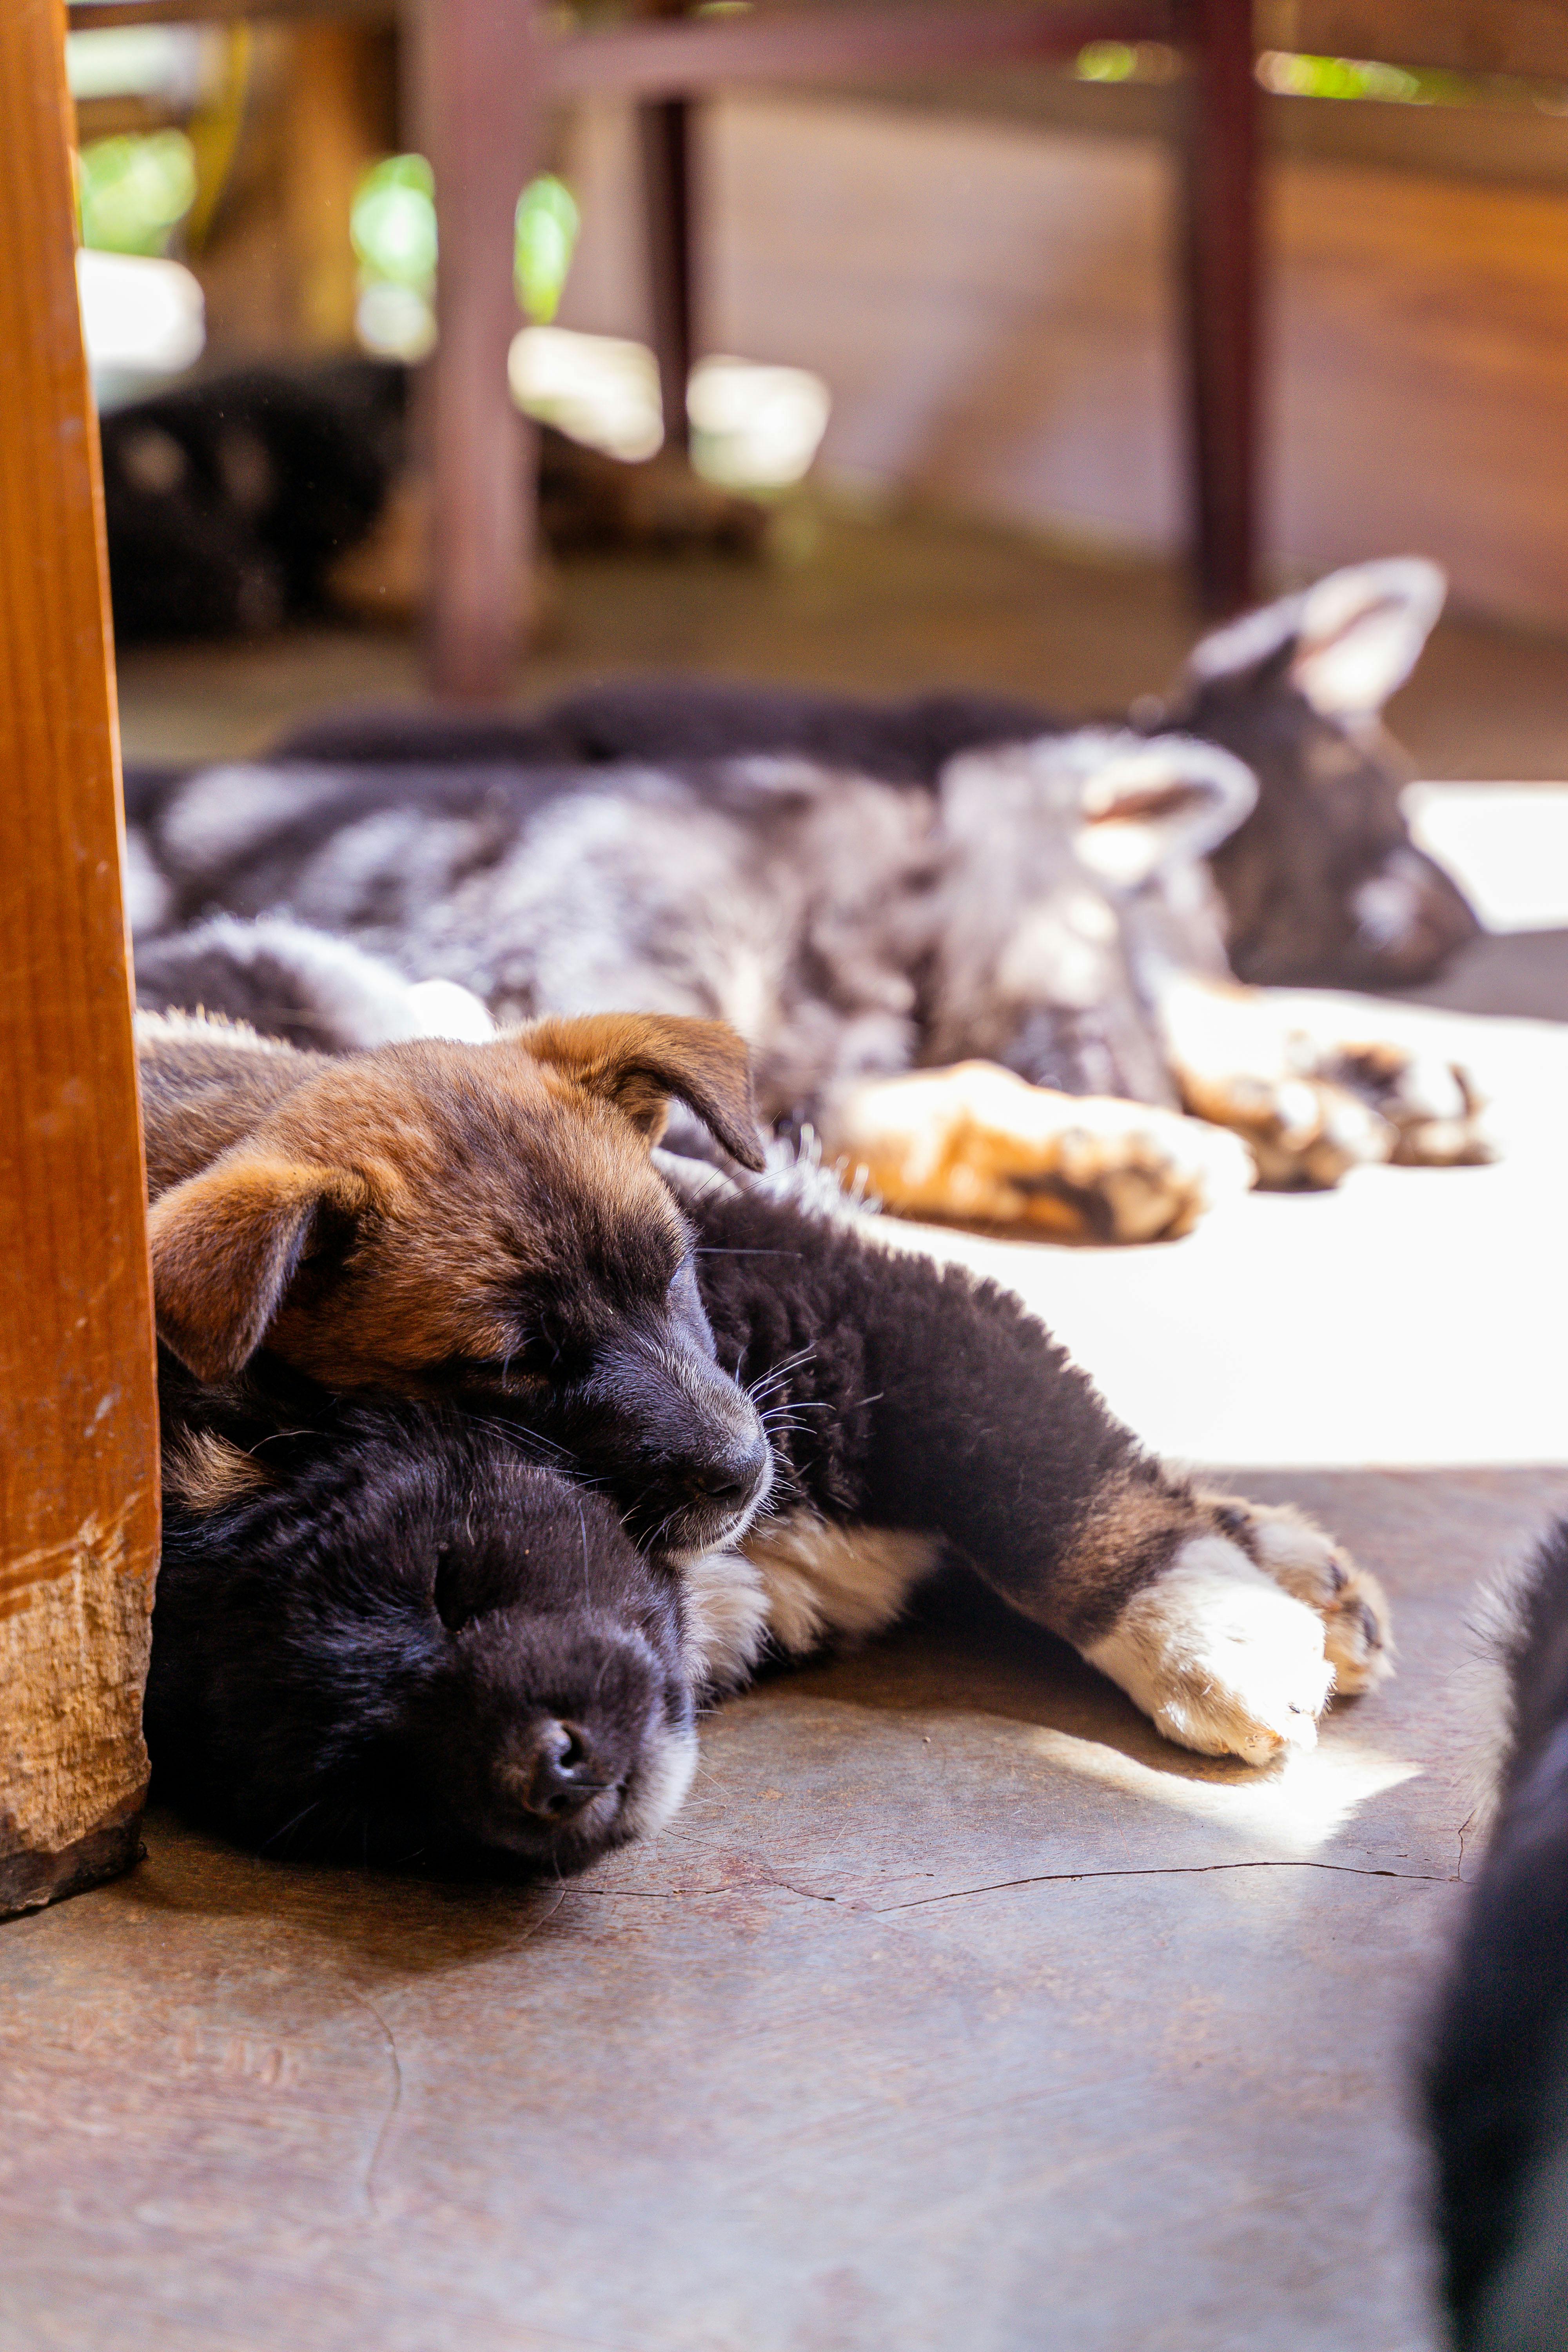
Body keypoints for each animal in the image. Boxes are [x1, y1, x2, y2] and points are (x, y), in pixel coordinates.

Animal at [150, 1143, 1401, 1872]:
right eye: (365, 1791)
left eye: (444, 1588)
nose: (547, 1775)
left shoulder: (887, 1316)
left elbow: (1056, 1496)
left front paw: (1213, 1644)